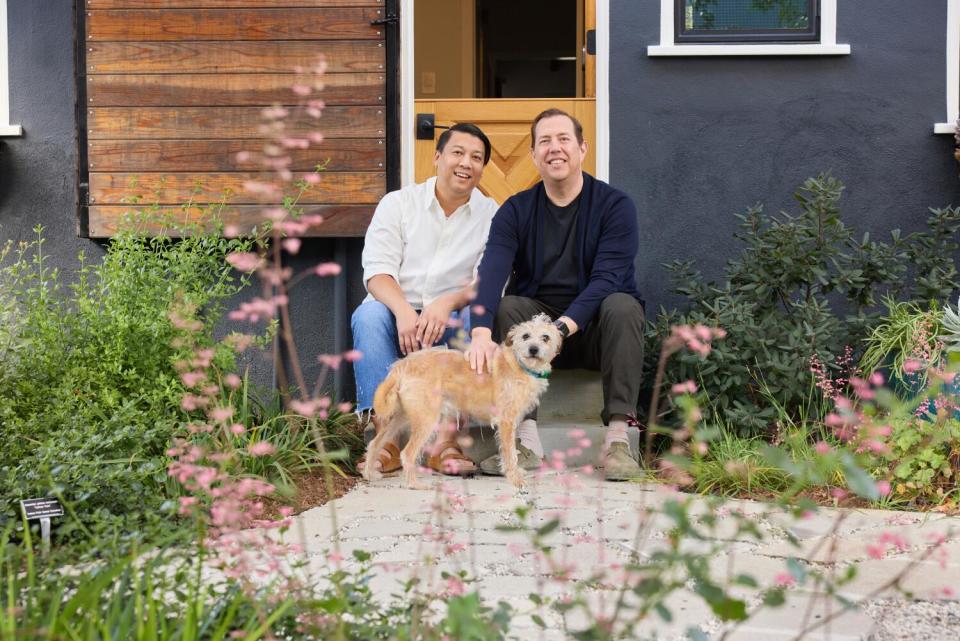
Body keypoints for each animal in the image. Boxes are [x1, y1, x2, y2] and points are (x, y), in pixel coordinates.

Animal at [366, 312, 564, 488]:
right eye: (525, 336)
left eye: (545, 337)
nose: (533, 349)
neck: (518, 364)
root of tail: (402, 365)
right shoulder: (506, 421)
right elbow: (509, 453)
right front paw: (515, 479)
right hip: (426, 420)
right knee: (407, 453)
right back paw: (415, 484)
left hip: (399, 418)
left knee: (375, 443)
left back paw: (370, 474)